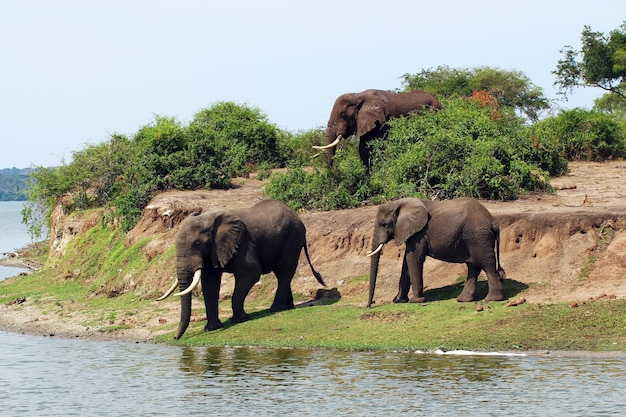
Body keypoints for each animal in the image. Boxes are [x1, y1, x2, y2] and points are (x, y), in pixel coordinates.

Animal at [156, 198, 324, 338]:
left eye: (197, 243)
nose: (175, 338)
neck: (208, 219)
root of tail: (298, 217)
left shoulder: (243, 242)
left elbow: (251, 273)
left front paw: (240, 320)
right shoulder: (213, 250)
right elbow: (209, 283)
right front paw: (212, 328)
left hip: (292, 238)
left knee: (284, 272)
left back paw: (276, 309)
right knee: (281, 274)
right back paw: (288, 307)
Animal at [366, 197, 502, 308]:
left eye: (383, 224)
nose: (369, 305)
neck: (399, 203)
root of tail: (493, 221)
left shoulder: (420, 233)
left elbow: (413, 258)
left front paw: (416, 301)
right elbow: (406, 261)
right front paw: (399, 300)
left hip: (479, 238)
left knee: (487, 265)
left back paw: (492, 299)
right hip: (473, 238)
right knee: (473, 267)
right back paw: (464, 299)